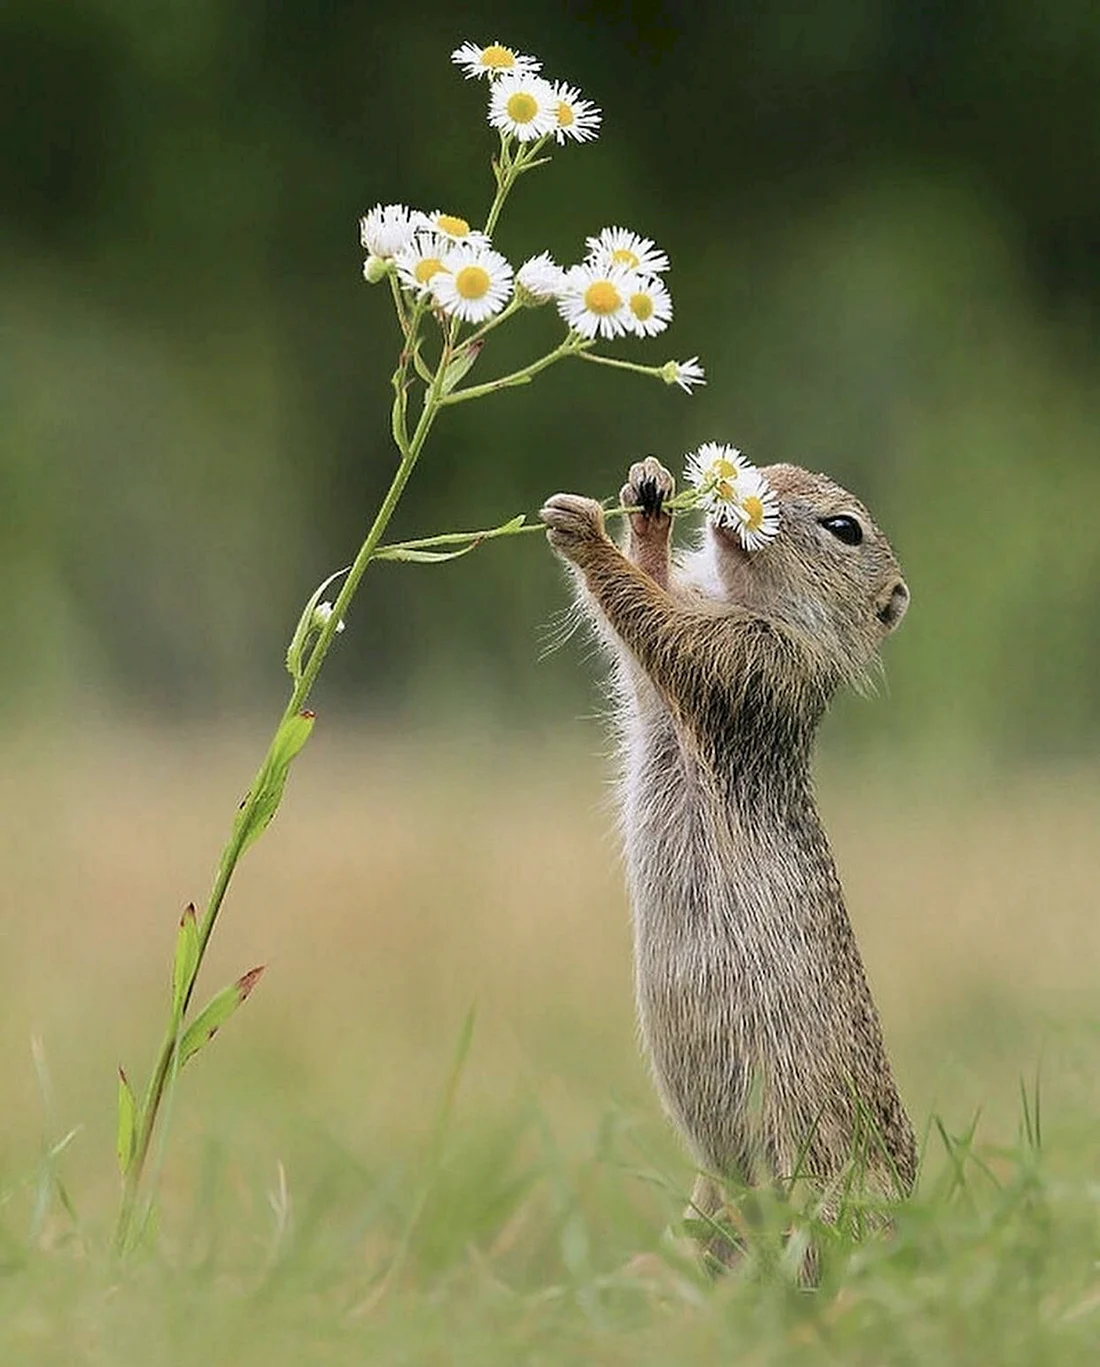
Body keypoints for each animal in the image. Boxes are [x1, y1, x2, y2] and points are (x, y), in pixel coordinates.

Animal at [543, 456, 918, 1257]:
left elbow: (656, 625)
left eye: (845, 528)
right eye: (780, 466)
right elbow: (646, 641)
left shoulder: (750, 663)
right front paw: (648, 501)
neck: (758, 604)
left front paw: (584, 531)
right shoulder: (679, 683)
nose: (753, 482)